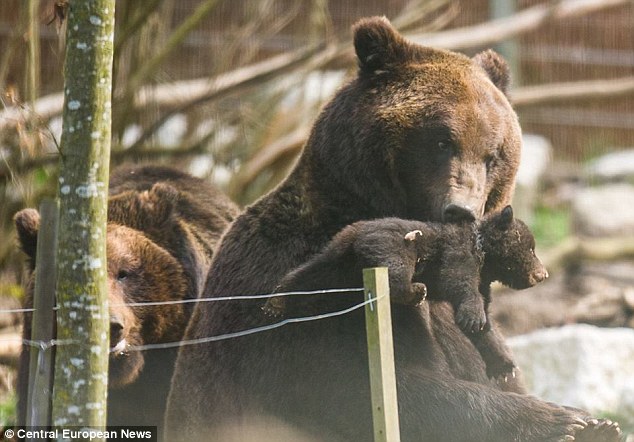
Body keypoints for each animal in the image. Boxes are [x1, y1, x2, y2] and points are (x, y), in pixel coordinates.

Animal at [165, 17, 620, 442]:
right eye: (442, 140)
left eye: (493, 154)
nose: (462, 209)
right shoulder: (306, 288)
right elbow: (372, 388)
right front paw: (568, 420)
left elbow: (489, 355)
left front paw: (593, 419)